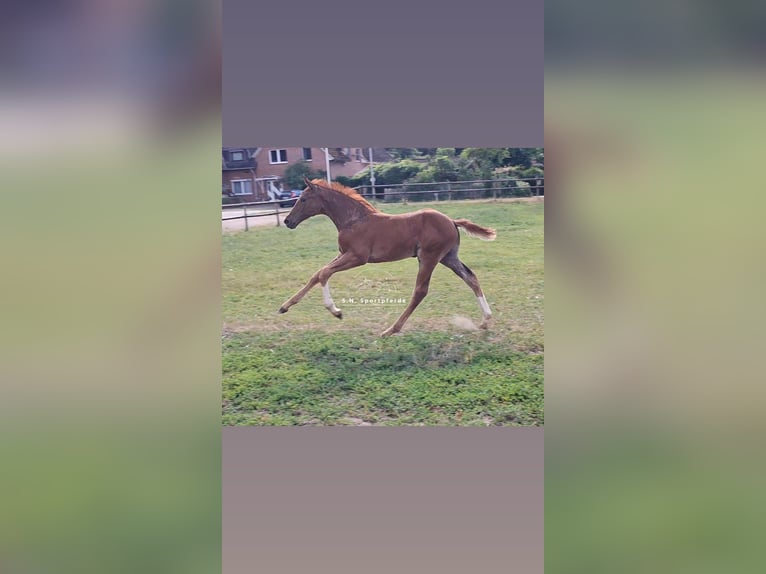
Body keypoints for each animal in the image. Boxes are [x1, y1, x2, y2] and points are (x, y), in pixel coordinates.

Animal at [279, 178, 496, 337]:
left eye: (303, 199)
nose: (287, 221)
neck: (353, 220)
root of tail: (452, 221)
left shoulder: (358, 257)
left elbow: (324, 273)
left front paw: (336, 311)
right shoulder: (343, 253)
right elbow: (316, 274)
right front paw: (284, 306)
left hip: (429, 257)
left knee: (420, 291)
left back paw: (391, 330)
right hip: (448, 258)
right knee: (471, 278)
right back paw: (485, 320)